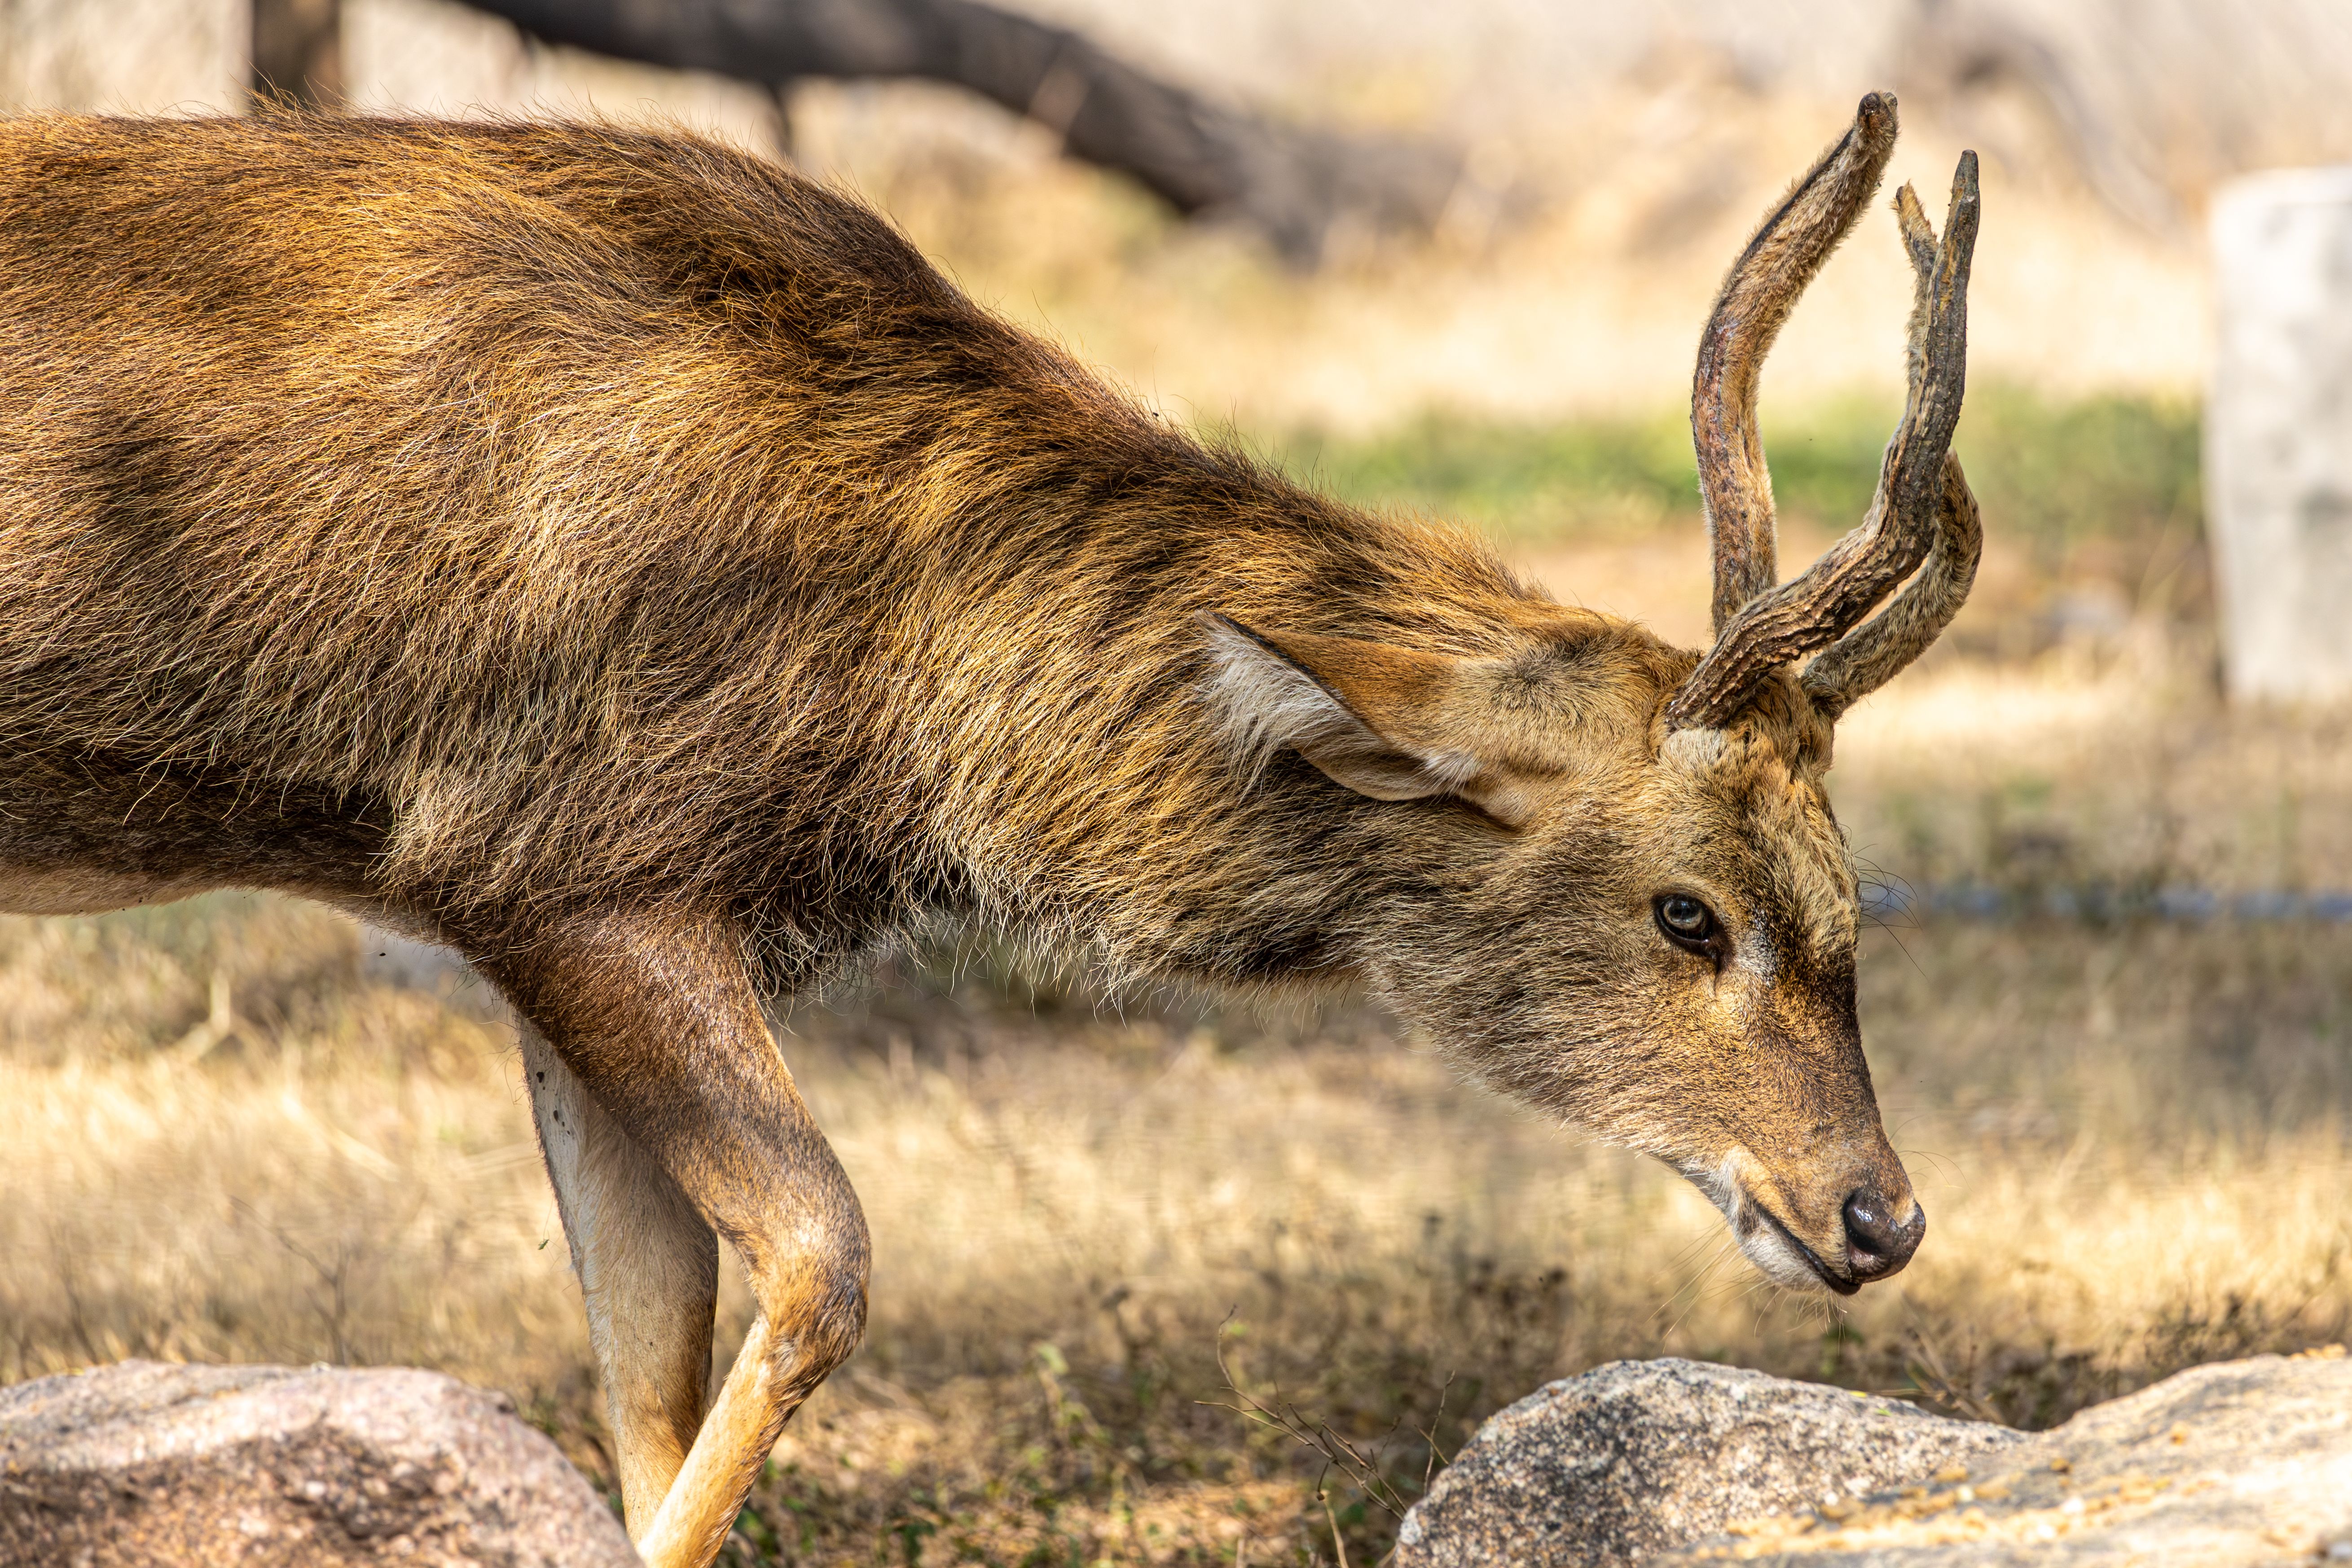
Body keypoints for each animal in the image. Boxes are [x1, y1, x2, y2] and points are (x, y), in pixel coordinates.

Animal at [0, 92, 1976, 1567]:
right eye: (1684, 912)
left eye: (1846, 891)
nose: (1876, 1214)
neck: (902, 698)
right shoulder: (551, 856)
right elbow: (822, 1256)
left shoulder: (532, 908)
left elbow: (648, 1369)